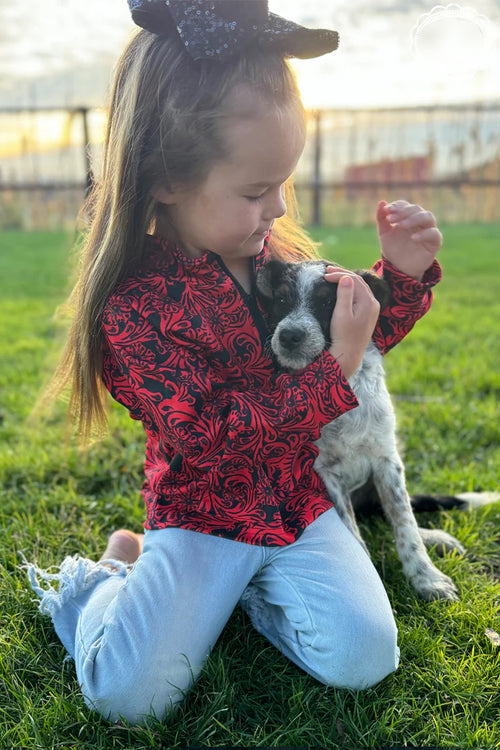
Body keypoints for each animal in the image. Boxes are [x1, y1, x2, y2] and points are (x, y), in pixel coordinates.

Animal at [258, 262, 464, 604]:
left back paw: (436, 538)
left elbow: (404, 522)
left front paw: (427, 578)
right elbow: (354, 533)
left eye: (330, 302)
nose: (288, 336)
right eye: (282, 299)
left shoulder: (387, 461)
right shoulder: (325, 474)